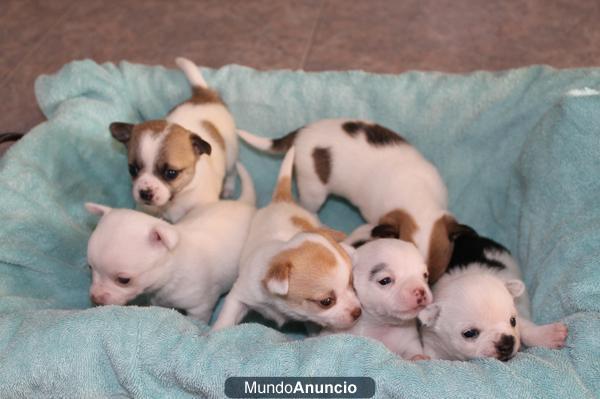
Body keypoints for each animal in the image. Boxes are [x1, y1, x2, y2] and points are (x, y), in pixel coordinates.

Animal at [85, 162, 254, 322]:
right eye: (90, 268)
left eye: (124, 280)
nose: (95, 298)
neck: (173, 268)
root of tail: (245, 204)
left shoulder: (200, 307)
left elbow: (198, 319)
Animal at [110, 57, 239, 223]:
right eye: (132, 169)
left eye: (171, 173)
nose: (145, 192)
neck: (178, 199)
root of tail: (204, 95)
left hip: (230, 154)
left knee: (232, 170)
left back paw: (229, 187)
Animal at [211, 148, 360, 332]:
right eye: (326, 302)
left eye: (352, 284)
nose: (358, 312)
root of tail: (283, 199)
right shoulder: (241, 294)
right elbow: (228, 315)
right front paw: (216, 332)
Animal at [418, 228, 568, 362]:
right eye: (469, 333)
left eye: (513, 321)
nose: (507, 342)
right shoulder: (432, 341)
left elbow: (525, 327)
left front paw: (549, 335)